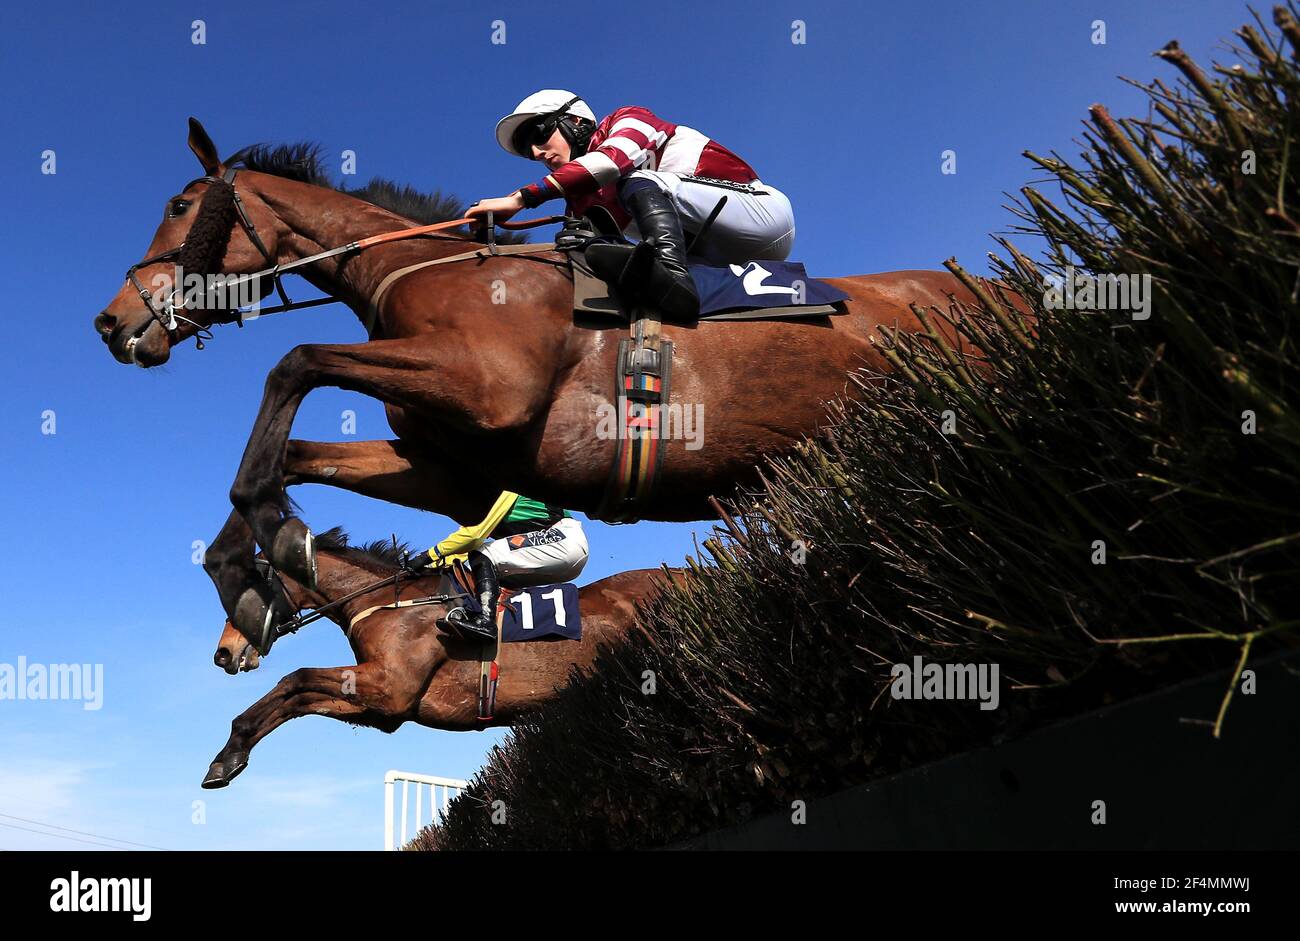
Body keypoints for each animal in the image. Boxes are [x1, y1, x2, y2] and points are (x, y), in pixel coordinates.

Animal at [98, 117, 993, 649]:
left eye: (178, 205)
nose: (110, 323)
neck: (429, 269)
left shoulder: (490, 388)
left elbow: (296, 362)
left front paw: (273, 541)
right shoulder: (450, 467)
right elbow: (291, 456)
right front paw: (248, 568)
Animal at [206, 517, 665, 790]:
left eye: (245, 586)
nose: (224, 654)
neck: (387, 602)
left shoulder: (389, 686)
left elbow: (295, 678)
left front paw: (230, 749)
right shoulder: (386, 706)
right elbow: (296, 698)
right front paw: (228, 758)